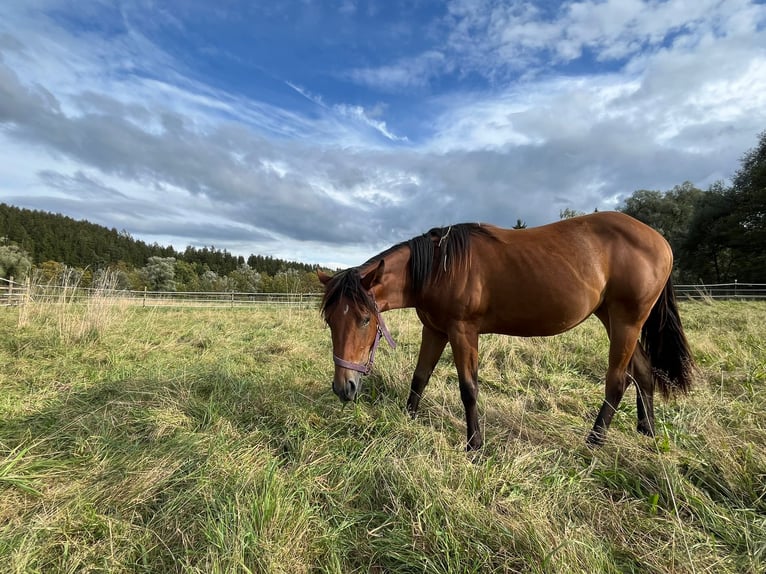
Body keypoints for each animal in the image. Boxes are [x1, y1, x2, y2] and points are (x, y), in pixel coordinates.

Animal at [318, 212, 696, 450]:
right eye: (331, 321)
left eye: (364, 319)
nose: (343, 388)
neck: (440, 268)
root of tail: (660, 241)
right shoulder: (435, 330)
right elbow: (420, 377)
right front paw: (407, 419)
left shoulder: (462, 332)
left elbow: (468, 389)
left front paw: (474, 445)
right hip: (614, 319)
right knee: (643, 372)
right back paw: (647, 431)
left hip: (626, 321)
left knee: (617, 382)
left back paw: (594, 442)